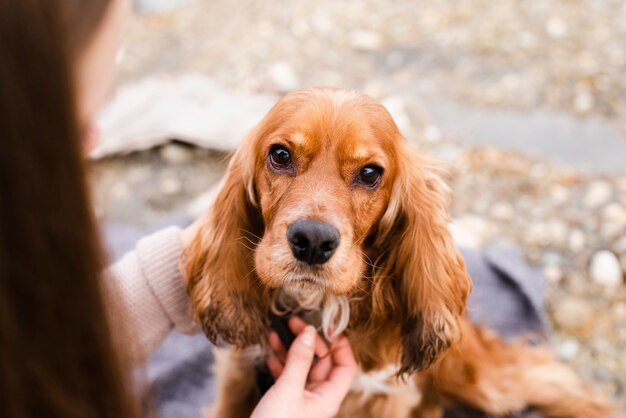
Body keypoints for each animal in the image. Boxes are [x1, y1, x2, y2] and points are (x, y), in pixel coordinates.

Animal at [183, 86, 612, 416]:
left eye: (370, 173)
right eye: (280, 155)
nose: (313, 241)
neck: (319, 308)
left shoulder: (384, 395)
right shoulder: (239, 379)